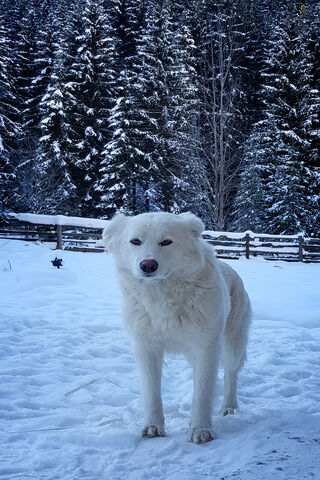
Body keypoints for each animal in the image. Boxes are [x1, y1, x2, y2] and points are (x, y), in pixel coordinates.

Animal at [104, 212, 251, 444]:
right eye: (135, 241)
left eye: (166, 242)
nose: (148, 265)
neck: (163, 294)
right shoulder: (146, 348)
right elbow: (151, 392)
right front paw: (153, 426)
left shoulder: (206, 347)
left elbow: (202, 392)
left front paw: (200, 429)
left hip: (231, 346)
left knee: (230, 375)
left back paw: (229, 407)